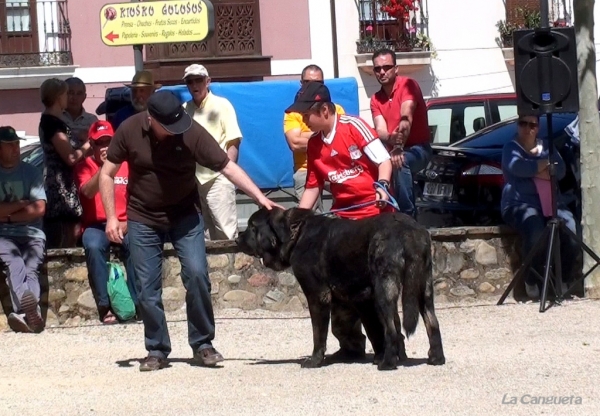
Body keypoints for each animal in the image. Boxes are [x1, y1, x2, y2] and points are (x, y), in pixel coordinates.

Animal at [237, 208, 442, 370]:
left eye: (252, 227)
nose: (237, 237)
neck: (295, 234)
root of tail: (409, 231)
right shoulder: (358, 299)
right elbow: (372, 330)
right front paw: (377, 355)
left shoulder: (317, 296)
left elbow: (319, 333)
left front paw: (315, 360)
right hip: (424, 290)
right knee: (432, 323)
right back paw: (436, 358)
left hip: (384, 290)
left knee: (391, 328)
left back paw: (387, 363)